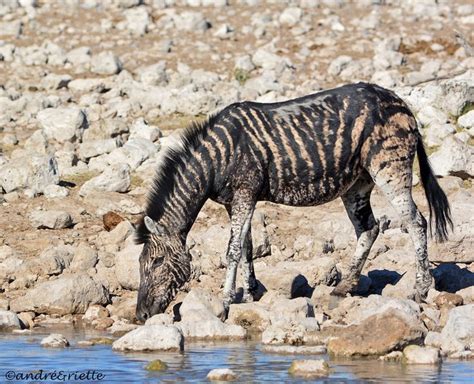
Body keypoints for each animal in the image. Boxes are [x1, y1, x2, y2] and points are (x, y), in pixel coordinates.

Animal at [133, 82, 452, 322]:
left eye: (157, 262)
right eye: (141, 264)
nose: (140, 316)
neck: (218, 159)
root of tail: (401, 103)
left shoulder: (245, 192)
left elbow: (233, 250)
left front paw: (224, 303)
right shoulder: (236, 200)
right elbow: (247, 247)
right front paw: (251, 292)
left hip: (389, 169)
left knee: (415, 222)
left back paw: (420, 289)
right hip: (357, 184)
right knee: (369, 229)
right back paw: (343, 287)